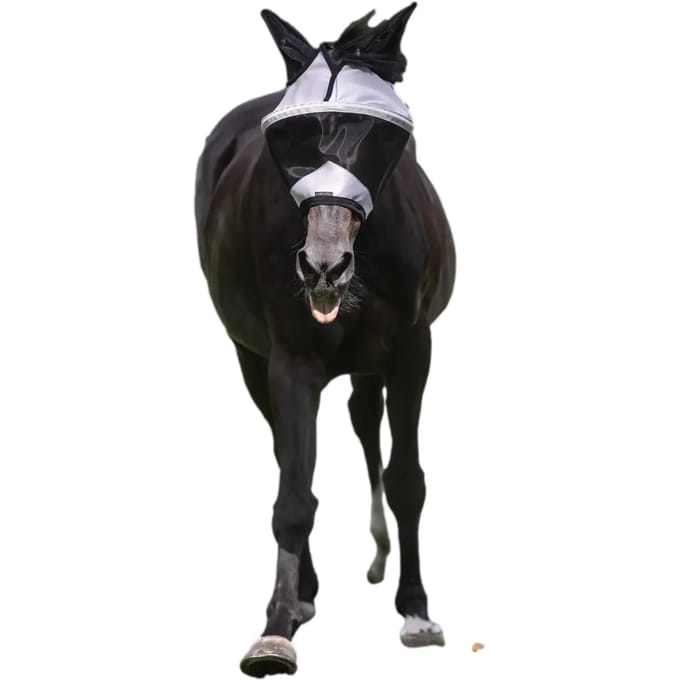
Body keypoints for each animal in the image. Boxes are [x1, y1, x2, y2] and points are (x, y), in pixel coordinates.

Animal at [194, 4, 456, 676]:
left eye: (379, 133)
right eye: (287, 137)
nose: (323, 267)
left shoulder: (412, 349)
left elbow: (406, 478)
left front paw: (416, 611)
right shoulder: (289, 361)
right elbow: (293, 494)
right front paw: (275, 629)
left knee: (365, 418)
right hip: (251, 358)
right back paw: (308, 591)